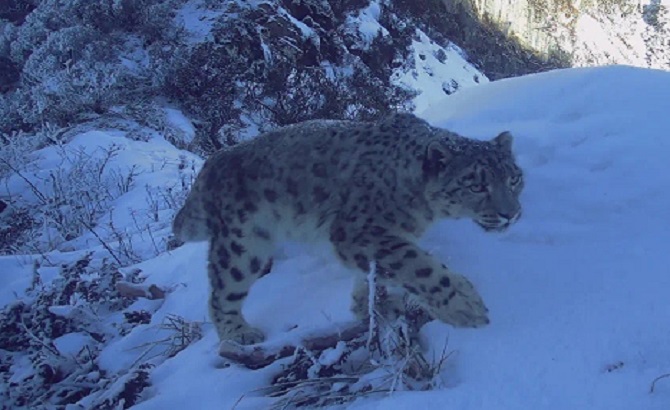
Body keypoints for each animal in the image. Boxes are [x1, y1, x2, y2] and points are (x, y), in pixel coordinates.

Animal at [172, 113, 524, 346]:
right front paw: (465, 306)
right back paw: (239, 333)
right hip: (243, 243)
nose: (510, 214)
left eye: (514, 179)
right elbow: (416, 265)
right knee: (223, 290)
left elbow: (374, 272)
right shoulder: (357, 231)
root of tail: (211, 162)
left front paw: (368, 304)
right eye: (476, 185)